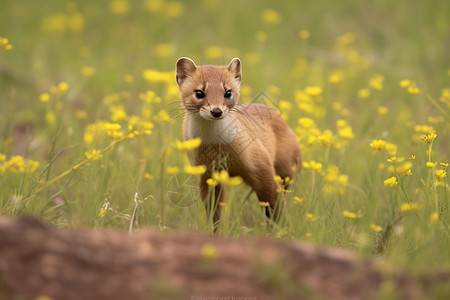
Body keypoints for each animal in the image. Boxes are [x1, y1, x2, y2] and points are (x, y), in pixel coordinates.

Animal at [176, 56, 302, 227]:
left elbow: (275, 205)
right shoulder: (207, 174)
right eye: (199, 92)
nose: (216, 111)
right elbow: (214, 211)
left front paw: (280, 229)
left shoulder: (261, 165)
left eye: (228, 92)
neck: (215, 145)